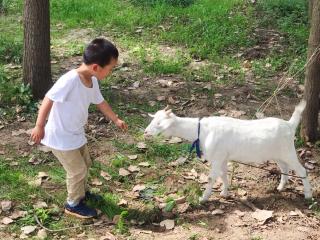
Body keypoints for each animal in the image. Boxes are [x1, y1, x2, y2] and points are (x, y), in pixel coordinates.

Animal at [144, 101, 312, 201]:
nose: (145, 132)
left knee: (302, 171)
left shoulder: (217, 157)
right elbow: (223, 175)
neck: (202, 131)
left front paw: (203, 198)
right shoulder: (223, 158)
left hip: (288, 151)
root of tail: (289, 125)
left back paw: (308, 195)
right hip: (279, 154)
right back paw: (280, 187)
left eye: (159, 123)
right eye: (153, 120)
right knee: (285, 168)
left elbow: (211, 178)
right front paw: (224, 193)